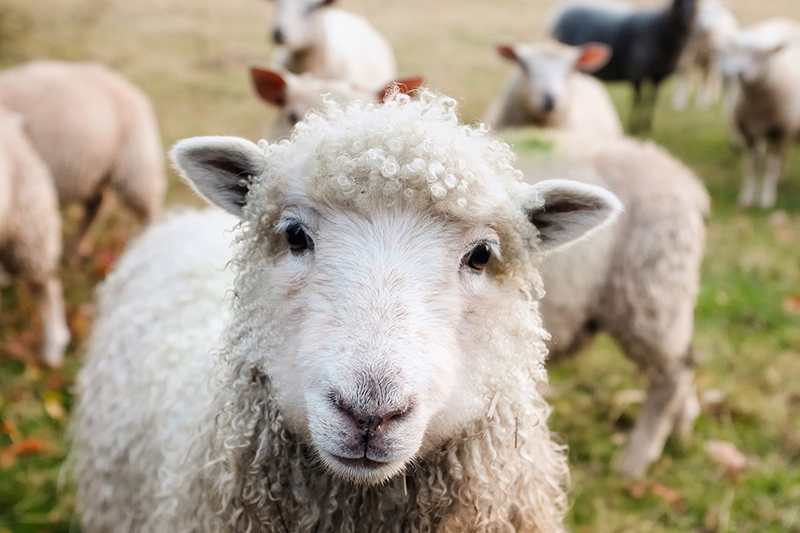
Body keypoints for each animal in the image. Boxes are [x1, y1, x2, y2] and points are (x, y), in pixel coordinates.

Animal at [551, 0, 698, 133]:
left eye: (696, 2)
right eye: (676, 2)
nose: (685, 16)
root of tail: (563, 9)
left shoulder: (658, 77)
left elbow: (651, 100)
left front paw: (647, 125)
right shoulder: (637, 73)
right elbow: (638, 100)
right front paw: (635, 126)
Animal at [716, 19, 800, 208]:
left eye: (761, 54)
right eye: (737, 51)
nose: (739, 73)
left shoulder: (779, 132)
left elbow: (771, 166)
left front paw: (767, 198)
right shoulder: (749, 133)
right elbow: (751, 165)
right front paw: (746, 197)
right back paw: (781, 177)